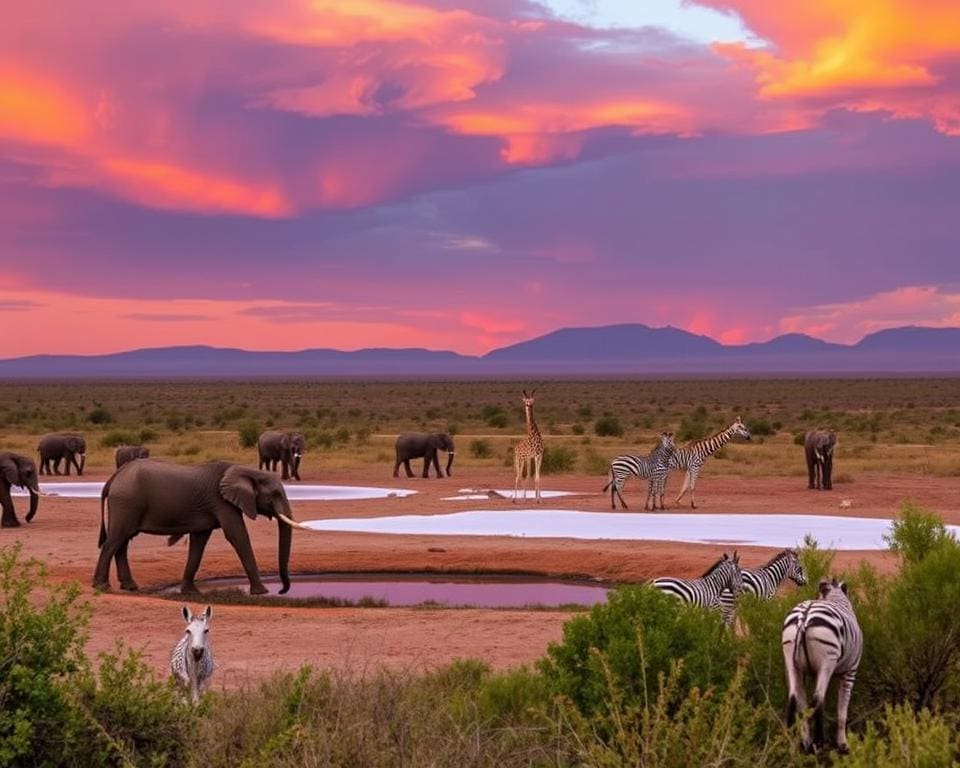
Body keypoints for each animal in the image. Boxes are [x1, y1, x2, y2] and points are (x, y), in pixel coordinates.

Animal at [92, 460, 306, 596]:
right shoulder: (221, 502)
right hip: (127, 502)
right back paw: (102, 587)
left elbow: (199, 542)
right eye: (275, 494)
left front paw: (190, 592)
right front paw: (261, 592)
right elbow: (237, 535)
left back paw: (130, 587)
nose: (282, 590)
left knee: (122, 542)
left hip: (126, 504)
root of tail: (113, 478)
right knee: (114, 541)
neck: (245, 470)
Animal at [780, 580, 864, 752]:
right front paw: (843, 745)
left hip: (791, 661)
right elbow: (842, 712)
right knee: (818, 698)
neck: (836, 598)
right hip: (827, 661)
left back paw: (804, 743)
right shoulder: (850, 672)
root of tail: (803, 618)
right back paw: (819, 741)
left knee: (795, 698)